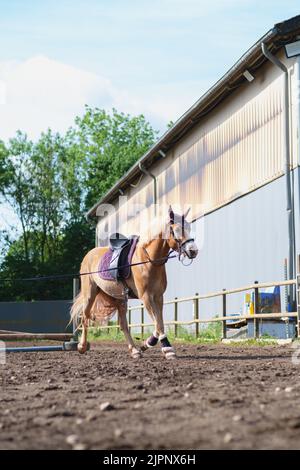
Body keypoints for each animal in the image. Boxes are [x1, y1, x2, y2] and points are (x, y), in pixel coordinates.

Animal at [69, 207, 197, 360]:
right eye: (176, 229)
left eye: (189, 227)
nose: (193, 251)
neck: (148, 260)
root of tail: (89, 254)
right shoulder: (146, 297)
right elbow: (158, 324)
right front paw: (167, 349)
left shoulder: (158, 297)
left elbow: (159, 323)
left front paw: (147, 344)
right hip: (90, 294)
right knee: (85, 318)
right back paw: (82, 346)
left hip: (119, 299)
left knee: (123, 325)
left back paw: (134, 350)